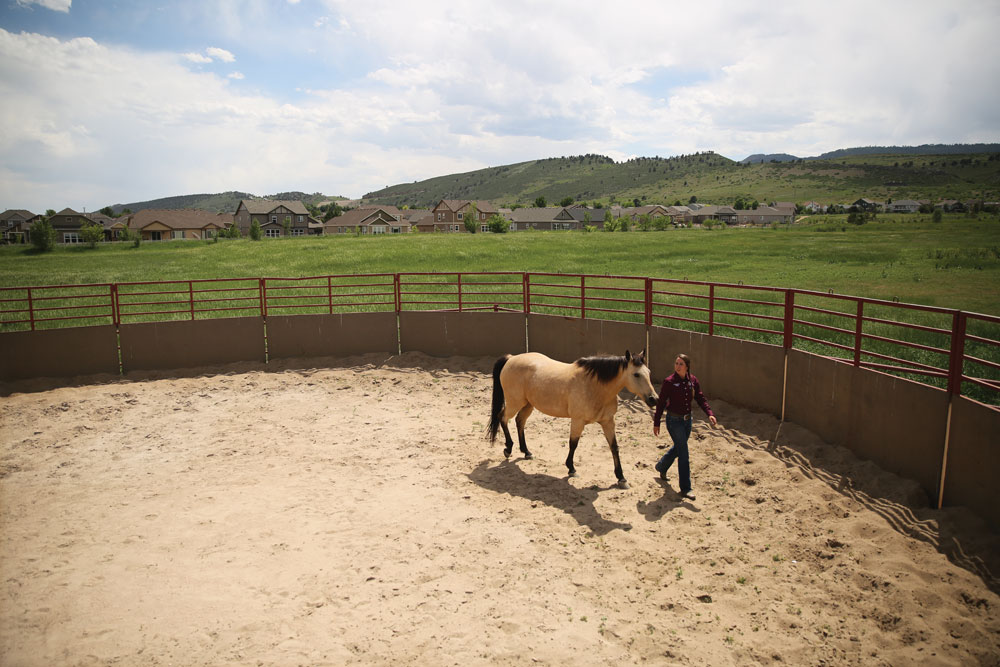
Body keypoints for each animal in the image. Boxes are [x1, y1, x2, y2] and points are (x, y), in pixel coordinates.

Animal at [488, 350, 660, 490]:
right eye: (636, 374)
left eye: (649, 372)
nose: (654, 399)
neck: (595, 387)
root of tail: (511, 358)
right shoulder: (578, 421)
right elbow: (573, 444)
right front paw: (571, 469)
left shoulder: (608, 422)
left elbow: (614, 447)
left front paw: (621, 478)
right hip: (515, 402)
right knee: (502, 418)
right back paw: (508, 449)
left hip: (528, 404)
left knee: (519, 421)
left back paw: (526, 452)